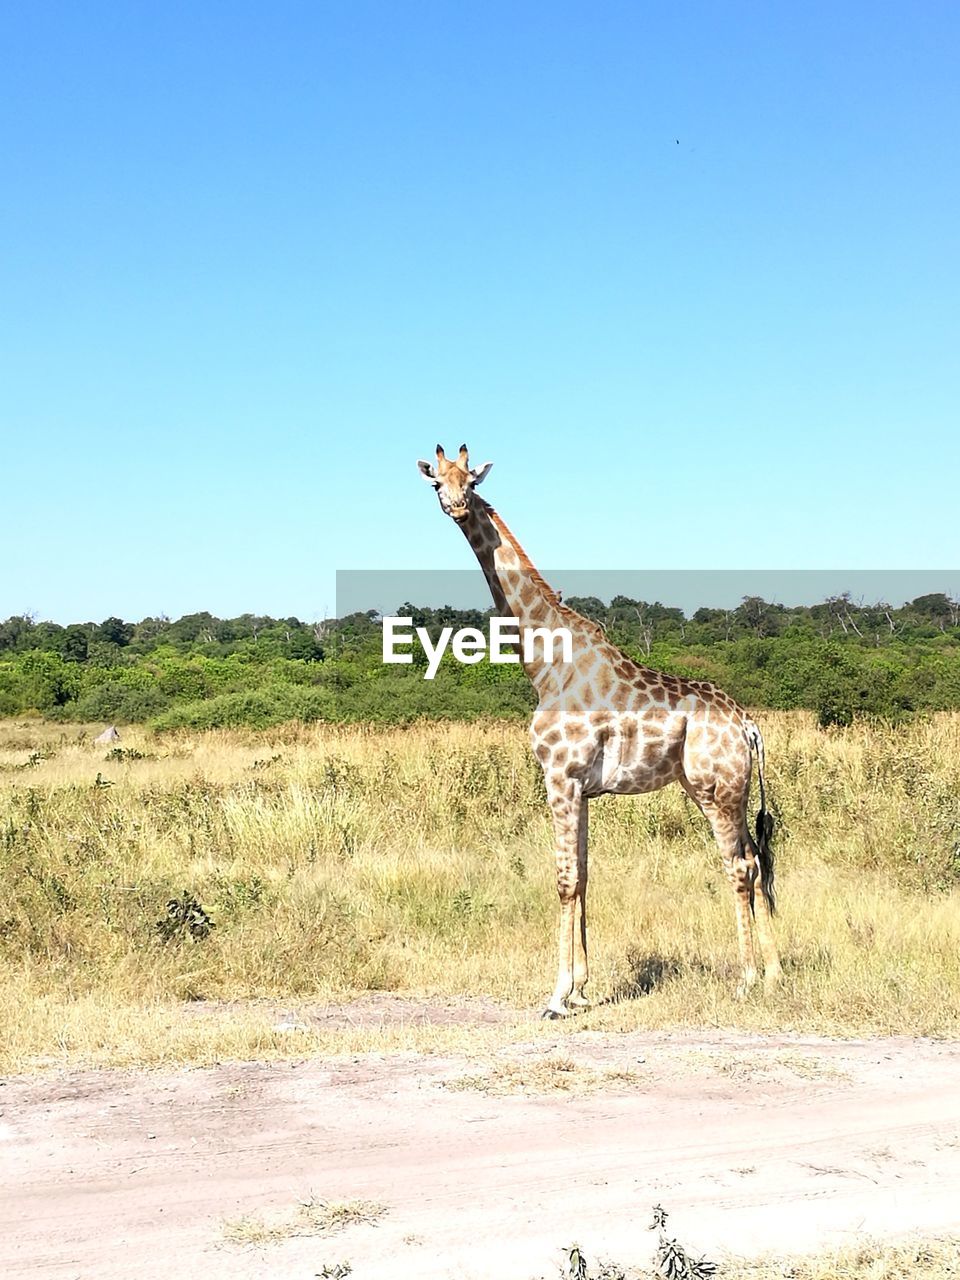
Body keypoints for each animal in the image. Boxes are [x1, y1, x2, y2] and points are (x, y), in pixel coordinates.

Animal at [419, 445, 783, 1013]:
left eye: (471, 480)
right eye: (437, 481)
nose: (456, 506)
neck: (545, 662)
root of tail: (748, 726)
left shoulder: (560, 777)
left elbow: (565, 880)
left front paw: (557, 996)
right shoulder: (584, 790)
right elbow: (585, 876)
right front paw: (583, 989)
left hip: (715, 791)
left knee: (738, 866)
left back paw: (746, 979)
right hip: (730, 790)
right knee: (757, 859)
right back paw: (772, 974)